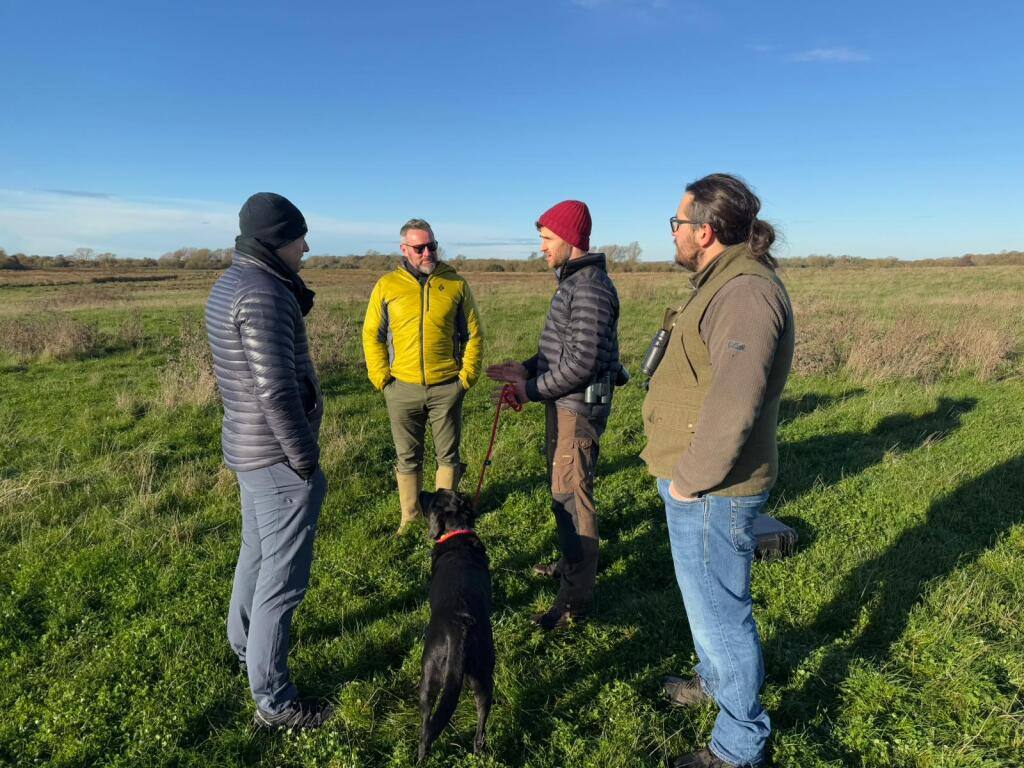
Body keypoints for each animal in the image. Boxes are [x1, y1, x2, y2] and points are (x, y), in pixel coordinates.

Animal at [415, 493, 495, 765]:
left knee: (428, 723)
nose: (421, 494)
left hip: (429, 675)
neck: (456, 530)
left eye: (431, 499)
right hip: (481, 676)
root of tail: (458, 630)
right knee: (479, 724)